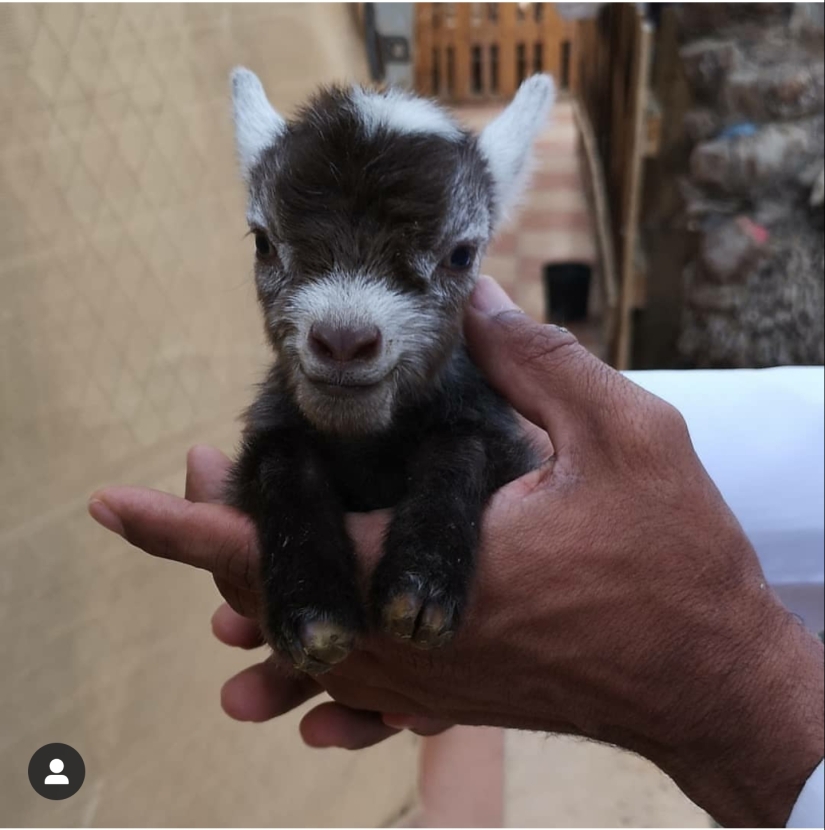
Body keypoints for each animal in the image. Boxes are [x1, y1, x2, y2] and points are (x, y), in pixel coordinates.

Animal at [225, 69, 555, 674]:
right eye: (262, 242)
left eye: (461, 255)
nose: (343, 340)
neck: (368, 446)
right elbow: (278, 459)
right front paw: (314, 610)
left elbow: (464, 445)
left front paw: (420, 590)